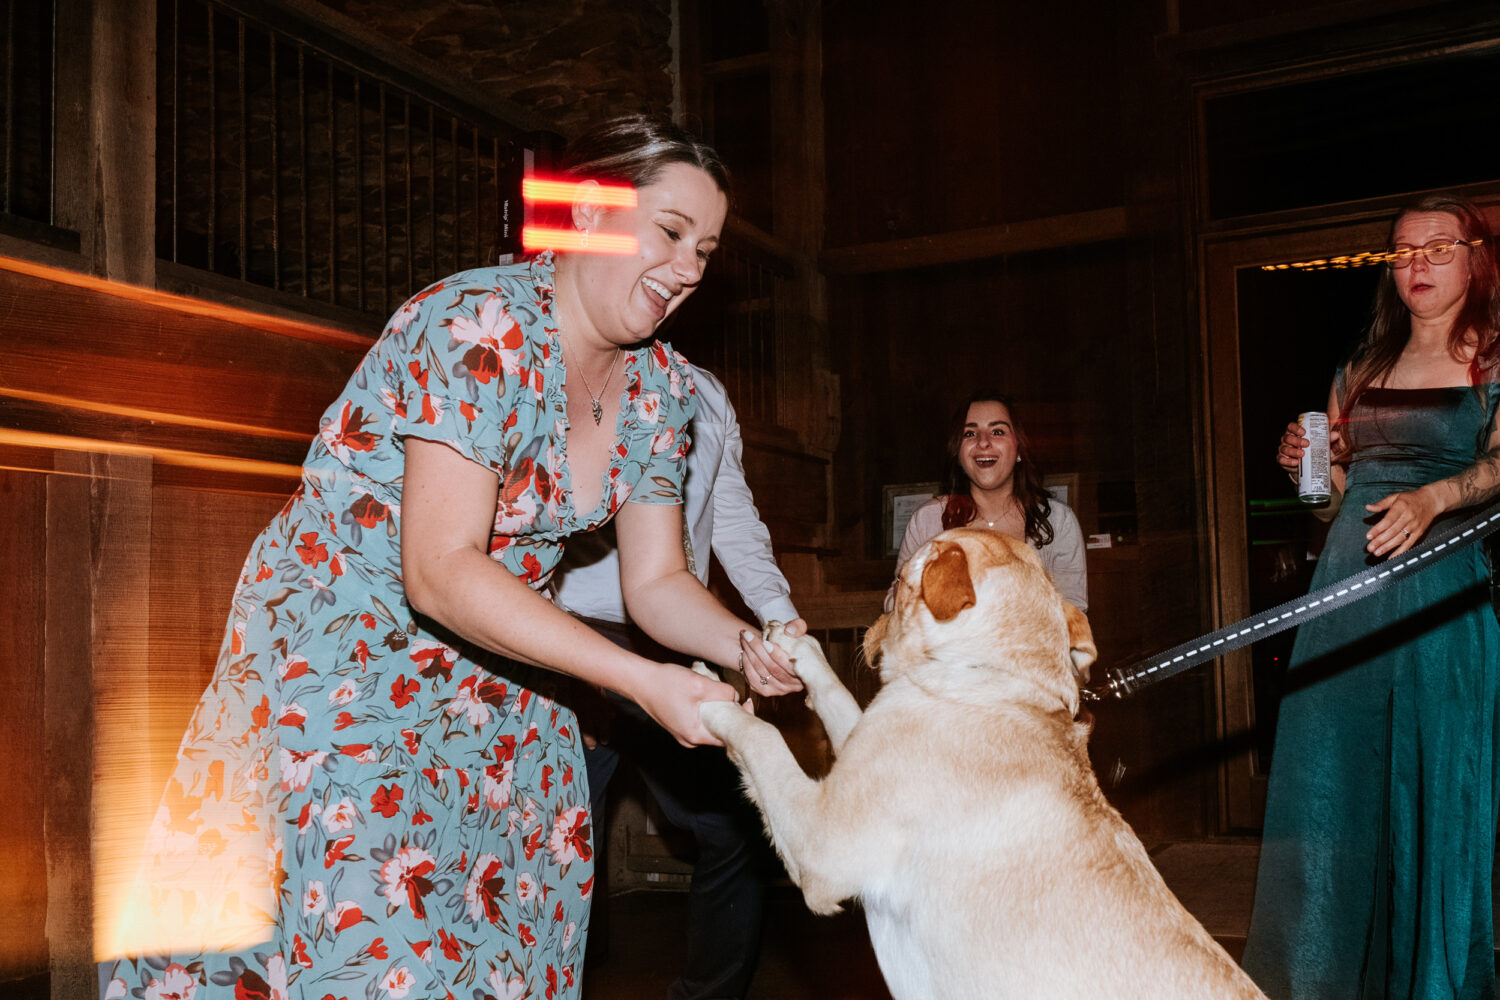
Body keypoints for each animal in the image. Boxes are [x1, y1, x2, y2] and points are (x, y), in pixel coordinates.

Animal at [696, 527, 1260, 995]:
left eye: (897, 583)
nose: (874, 617)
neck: (996, 681)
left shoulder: (821, 847)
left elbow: (763, 737)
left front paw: (708, 700)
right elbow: (833, 691)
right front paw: (795, 646)